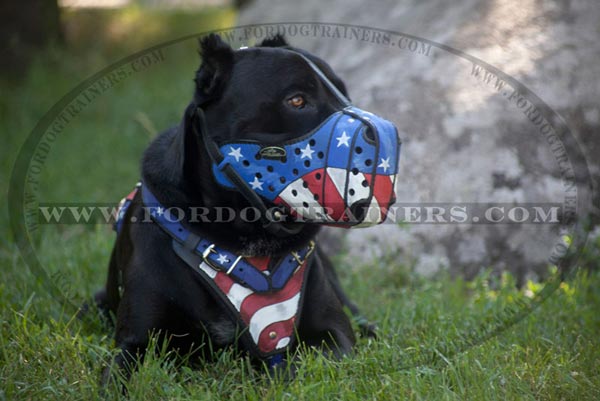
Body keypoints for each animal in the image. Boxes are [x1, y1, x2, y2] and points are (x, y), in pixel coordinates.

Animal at [96, 32, 396, 382]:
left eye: (344, 92)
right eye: (297, 100)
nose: (384, 136)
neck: (246, 233)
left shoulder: (332, 333)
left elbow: (298, 364)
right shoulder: (134, 342)